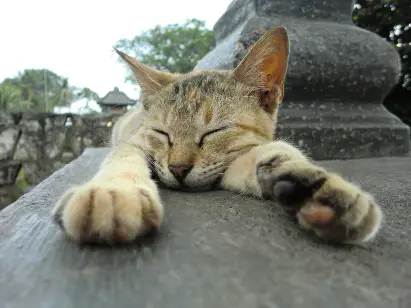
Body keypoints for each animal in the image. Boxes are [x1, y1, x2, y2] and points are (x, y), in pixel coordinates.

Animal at [51, 27, 384, 247]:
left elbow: (274, 155)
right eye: (162, 133)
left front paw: (320, 187)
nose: (178, 169)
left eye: (214, 132)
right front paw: (115, 192)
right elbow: (123, 158)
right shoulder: (135, 143)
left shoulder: (231, 162)